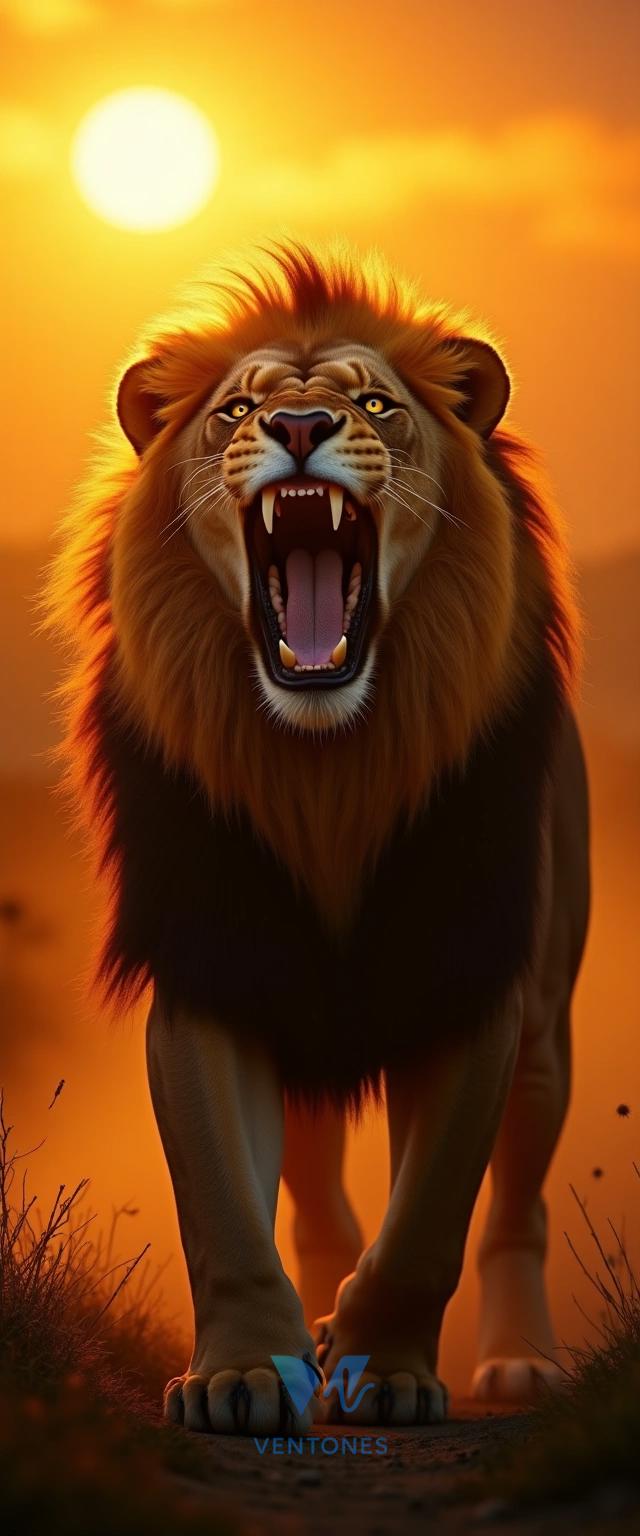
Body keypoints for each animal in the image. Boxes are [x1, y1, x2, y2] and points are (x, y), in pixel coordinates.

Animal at [49, 243, 589, 1433]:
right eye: (237, 410)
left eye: (375, 404)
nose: (299, 424)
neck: (327, 771)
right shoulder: (214, 970)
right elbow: (222, 1205)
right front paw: (247, 1371)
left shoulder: (472, 980)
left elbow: (431, 1216)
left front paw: (385, 1368)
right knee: (311, 1198)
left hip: (546, 1037)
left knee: (515, 1209)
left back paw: (515, 1361)